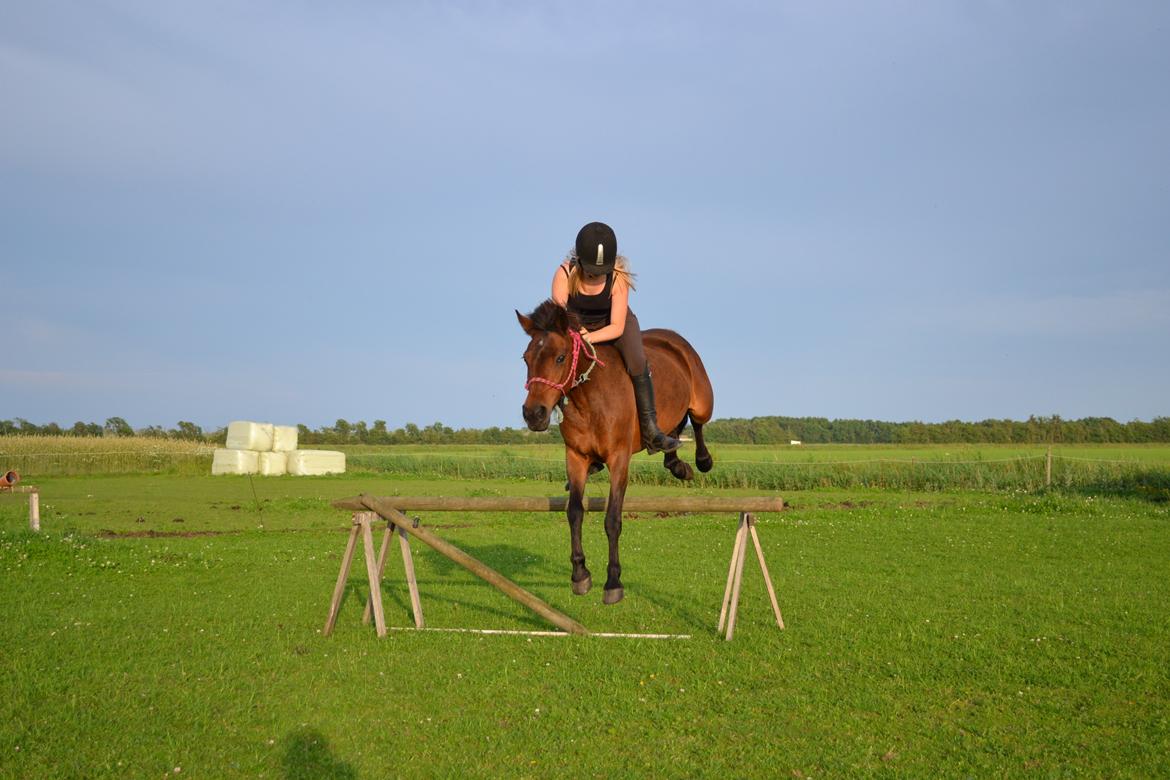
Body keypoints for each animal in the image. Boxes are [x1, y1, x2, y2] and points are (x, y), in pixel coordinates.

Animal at [519, 299, 716, 603]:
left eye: (560, 358)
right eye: (526, 359)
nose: (533, 414)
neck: (587, 398)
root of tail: (674, 339)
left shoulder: (619, 459)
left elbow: (612, 519)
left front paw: (613, 582)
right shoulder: (575, 457)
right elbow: (574, 512)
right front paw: (580, 575)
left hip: (703, 400)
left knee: (696, 420)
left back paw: (701, 460)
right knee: (675, 425)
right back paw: (674, 460)